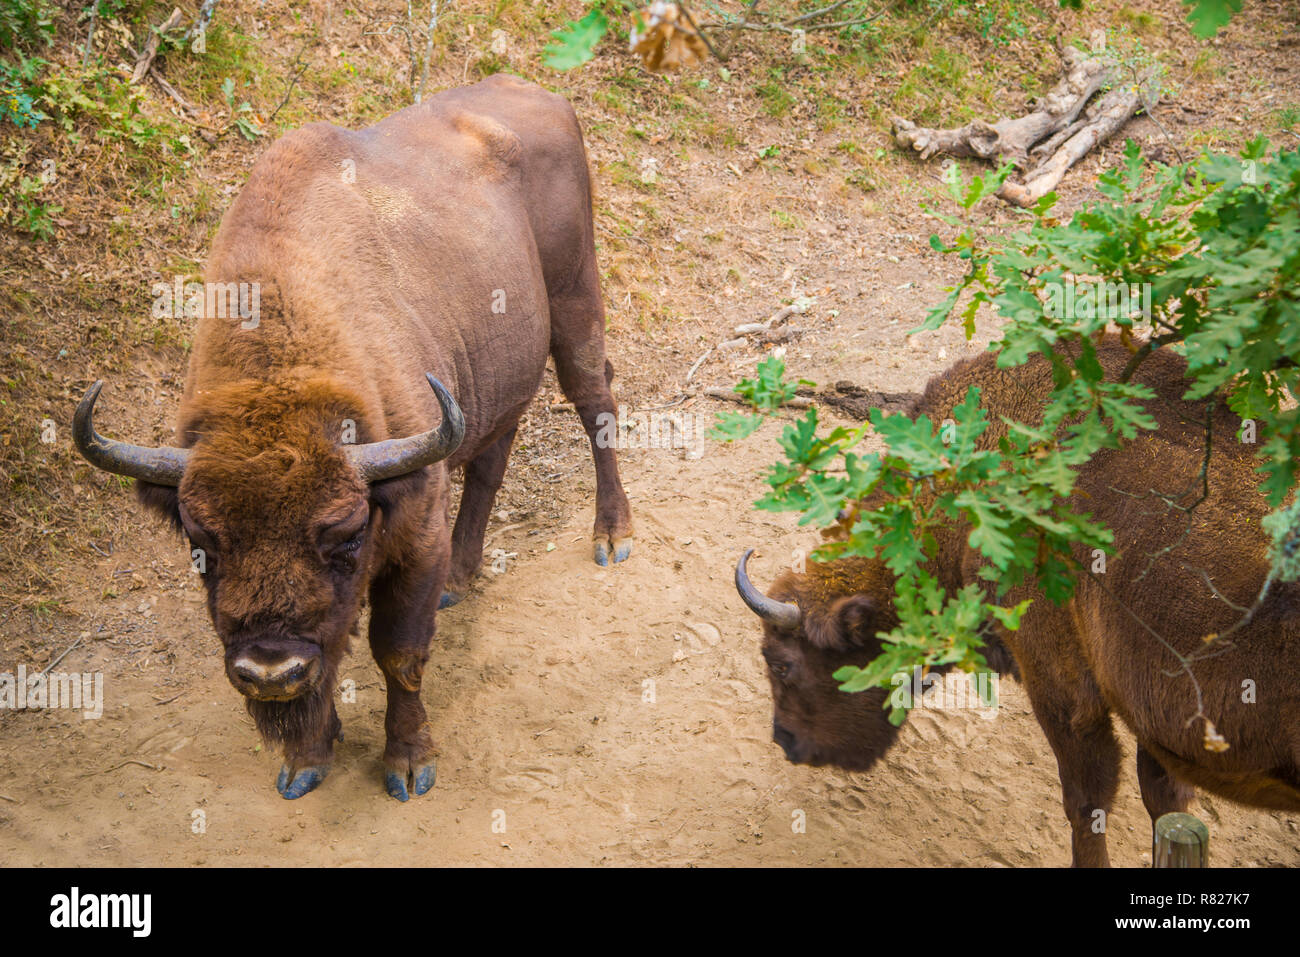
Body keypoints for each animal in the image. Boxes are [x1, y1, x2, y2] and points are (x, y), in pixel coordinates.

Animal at [75, 75, 633, 801]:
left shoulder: (415, 532)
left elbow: (398, 653)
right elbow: (338, 645)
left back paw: (612, 536)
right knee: (494, 453)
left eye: (344, 534)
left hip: (575, 298)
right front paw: (305, 761)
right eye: (202, 542)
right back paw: (461, 576)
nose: (271, 670)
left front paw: (408, 765)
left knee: (596, 400)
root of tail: (534, 92)